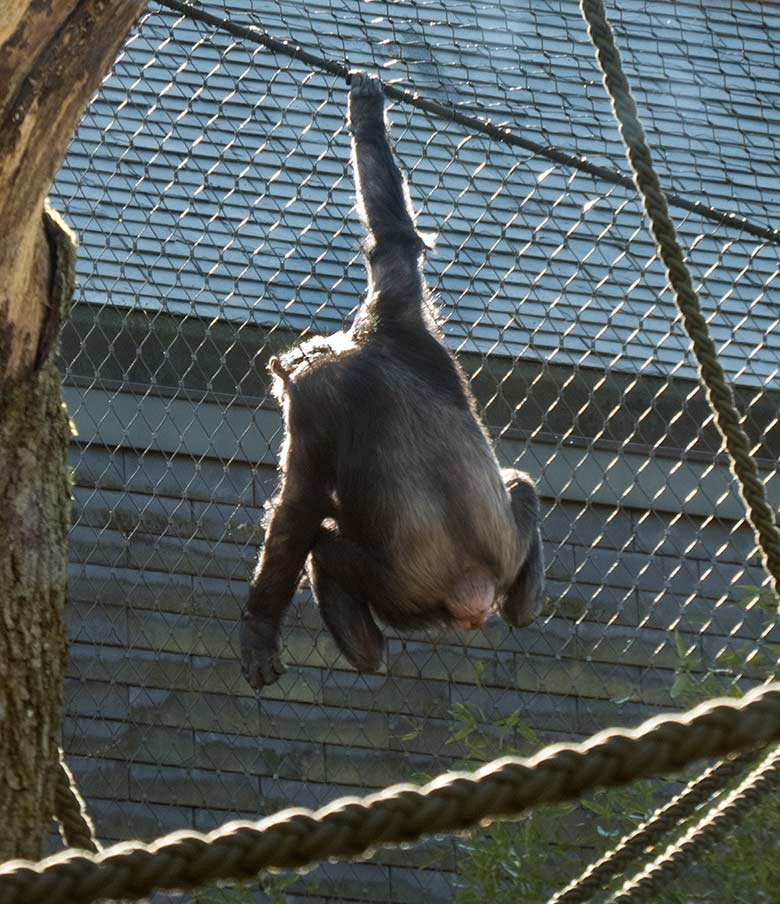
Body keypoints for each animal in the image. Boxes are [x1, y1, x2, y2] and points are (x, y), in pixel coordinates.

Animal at [241, 72, 544, 692]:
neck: (355, 352)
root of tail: (473, 594)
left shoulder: (311, 405)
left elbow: (297, 508)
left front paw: (259, 629)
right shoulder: (400, 309)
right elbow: (393, 238)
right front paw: (365, 109)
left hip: (401, 592)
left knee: (323, 540)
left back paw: (364, 651)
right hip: (500, 550)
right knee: (521, 484)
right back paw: (525, 605)